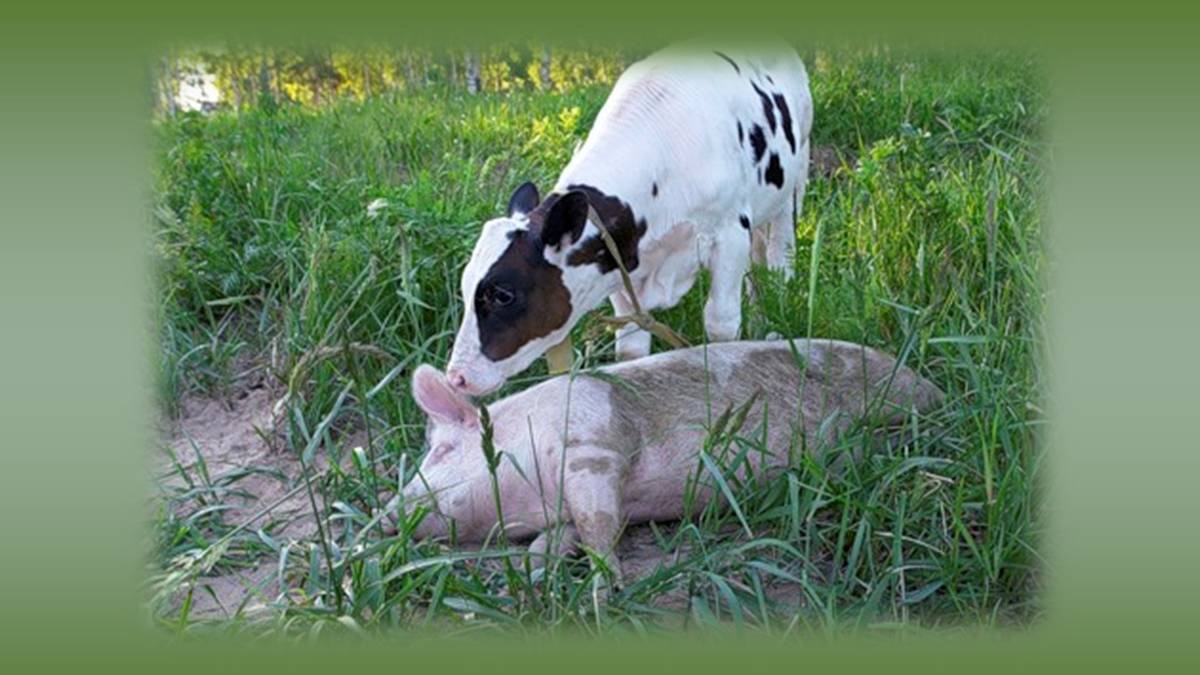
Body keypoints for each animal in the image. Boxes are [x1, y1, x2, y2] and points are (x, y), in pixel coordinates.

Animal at [398, 338, 940, 581]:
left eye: (442, 451)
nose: (388, 515)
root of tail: (932, 388)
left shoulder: (595, 448)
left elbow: (600, 525)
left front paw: (607, 586)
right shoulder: (564, 507)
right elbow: (562, 537)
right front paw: (535, 574)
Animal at [444, 43, 816, 393]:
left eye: (503, 295)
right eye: (465, 285)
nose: (456, 378)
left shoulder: (730, 234)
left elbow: (721, 323)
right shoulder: (622, 264)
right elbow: (632, 348)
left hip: (794, 183)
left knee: (779, 261)